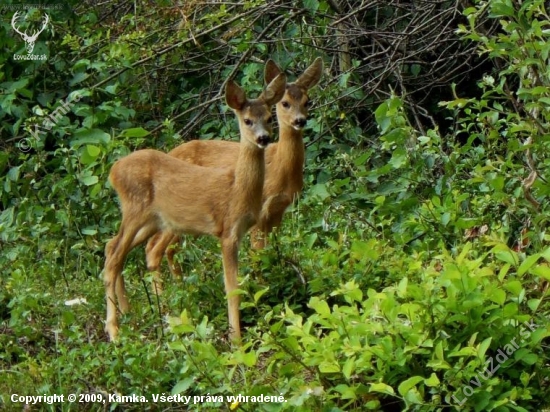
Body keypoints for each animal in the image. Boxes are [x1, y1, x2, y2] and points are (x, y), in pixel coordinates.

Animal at [102, 71, 288, 342]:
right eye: (247, 120)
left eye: (268, 118)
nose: (263, 138)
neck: (238, 190)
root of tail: (113, 171)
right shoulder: (227, 231)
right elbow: (232, 288)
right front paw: (236, 339)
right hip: (135, 209)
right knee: (114, 258)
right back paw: (115, 331)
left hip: (152, 220)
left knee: (113, 248)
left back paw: (129, 315)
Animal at [147, 57, 326, 276]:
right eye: (285, 103)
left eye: (307, 101)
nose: (300, 120)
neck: (280, 168)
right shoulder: (261, 211)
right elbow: (258, 253)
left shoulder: (279, 210)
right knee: (155, 248)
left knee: (165, 249)